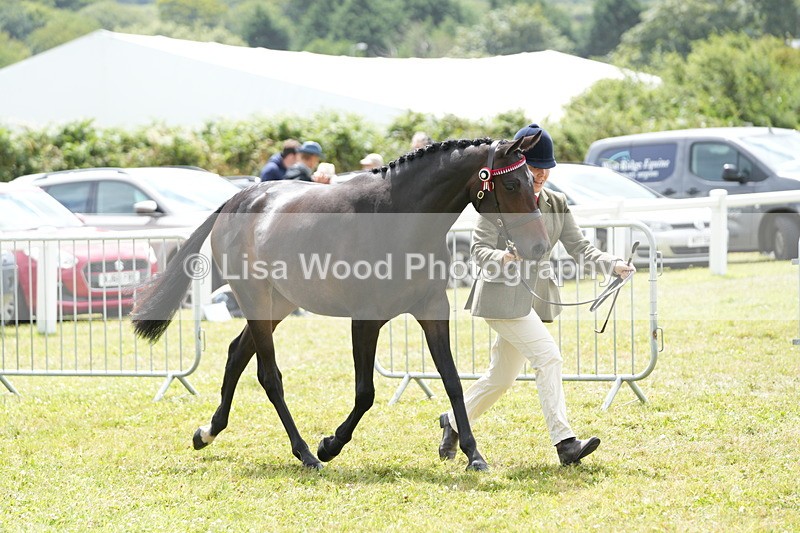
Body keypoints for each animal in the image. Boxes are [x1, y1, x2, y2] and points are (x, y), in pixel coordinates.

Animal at [131, 134, 550, 471]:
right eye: (511, 182)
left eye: (532, 182)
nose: (540, 247)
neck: (399, 218)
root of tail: (238, 198)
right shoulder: (365, 320)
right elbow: (365, 393)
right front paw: (330, 445)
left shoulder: (432, 311)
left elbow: (452, 382)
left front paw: (473, 455)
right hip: (256, 299)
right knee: (269, 376)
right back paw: (306, 454)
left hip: (277, 305)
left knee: (236, 354)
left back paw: (207, 432)